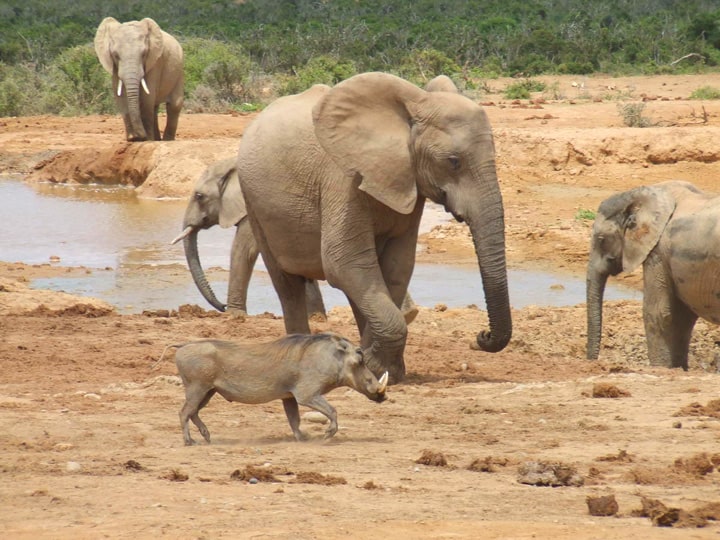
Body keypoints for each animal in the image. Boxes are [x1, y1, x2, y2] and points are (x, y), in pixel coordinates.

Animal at [172, 334, 388, 442]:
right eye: (360, 357)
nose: (383, 397)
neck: (329, 358)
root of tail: (182, 346)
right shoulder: (306, 395)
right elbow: (332, 411)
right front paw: (326, 436)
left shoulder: (289, 396)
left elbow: (294, 419)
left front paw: (303, 438)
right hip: (197, 388)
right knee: (184, 412)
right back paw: (189, 441)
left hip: (208, 392)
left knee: (192, 412)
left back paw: (207, 437)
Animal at [233, 73, 510, 384]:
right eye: (453, 162)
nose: (481, 336)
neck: (412, 109)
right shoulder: (343, 179)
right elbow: (343, 262)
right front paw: (374, 365)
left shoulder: (409, 183)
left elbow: (397, 266)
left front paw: (379, 367)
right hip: (254, 201)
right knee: (288, 285)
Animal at [584, 179, 720, 370]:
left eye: (601, 239)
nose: (593, 363)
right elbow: (683, 317)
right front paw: (677, 369)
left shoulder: (657, 253)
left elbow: (657, 313)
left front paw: (660, 368)